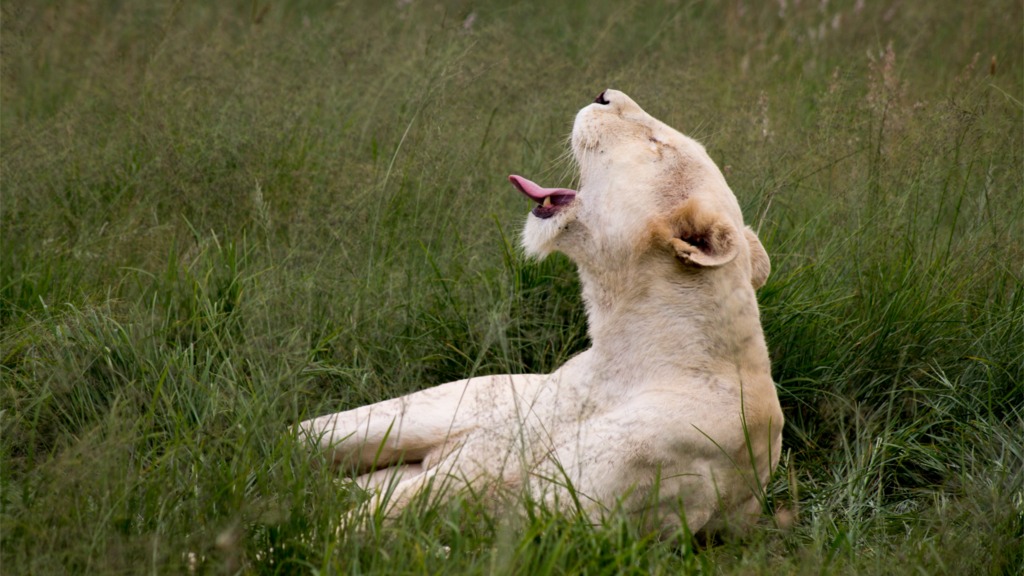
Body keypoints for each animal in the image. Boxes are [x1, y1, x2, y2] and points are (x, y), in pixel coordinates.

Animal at [299, 88, 778, 532]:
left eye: (656, 143)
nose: (604, 93)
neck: (622, 356)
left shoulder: (561, 511)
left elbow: (382, 521)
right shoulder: (500, 445)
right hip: (415, 412)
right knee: (300, 435)